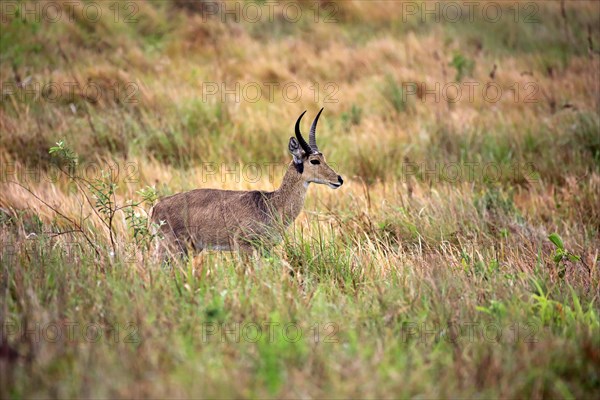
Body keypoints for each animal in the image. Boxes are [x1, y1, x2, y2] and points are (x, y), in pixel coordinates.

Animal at [151, 108, 342, 256]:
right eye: (314, 161)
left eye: (323, 157)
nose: (339, 179)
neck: (272, 204)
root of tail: (155, 208)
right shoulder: (244, 247)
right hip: (171, 247)